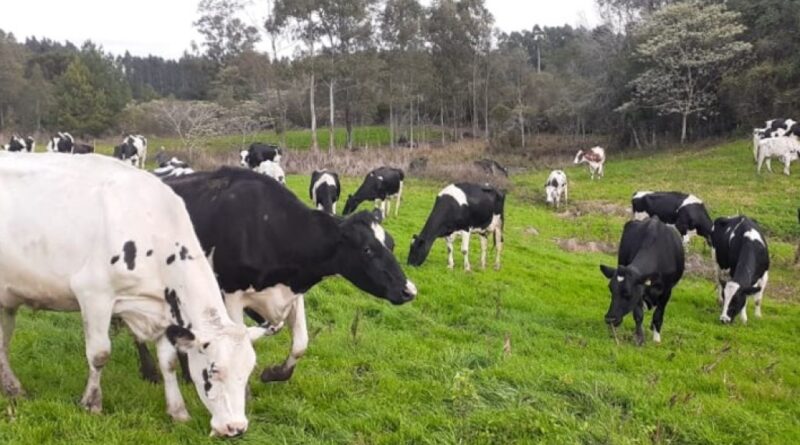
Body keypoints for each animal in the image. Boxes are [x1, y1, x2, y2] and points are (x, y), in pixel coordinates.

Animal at [0, 153, 273, 438]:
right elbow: (99, 354)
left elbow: (168, 362)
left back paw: (12, 388)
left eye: (249, 371)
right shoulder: (94, 294)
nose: (236, 428)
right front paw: (92, 403)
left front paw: (178, 411)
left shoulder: (165, 311)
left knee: (3, 342)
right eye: (214, 370)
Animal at [133, 168, 416, 384]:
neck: (269, 227)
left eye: (391, 244)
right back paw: (150, 372)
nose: (409, 290)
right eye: (367, 249)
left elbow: (299, 342)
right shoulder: (231, 293)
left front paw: (274, 373)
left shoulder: (292, 290)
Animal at [599, 217, 685, 345]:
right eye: (611, 290)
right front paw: (639, 338)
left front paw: (656, 339)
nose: (609, 318)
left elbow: (658, 314)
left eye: (627, 293)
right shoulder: (640, 291)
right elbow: (638, 315)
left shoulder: (667, 290)